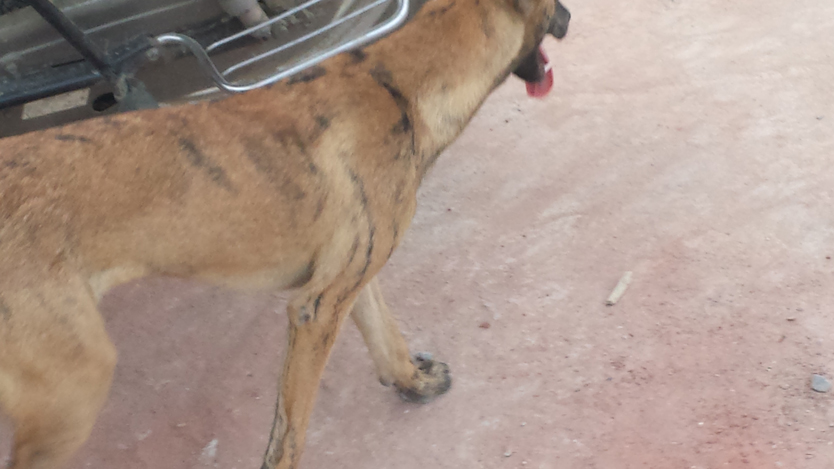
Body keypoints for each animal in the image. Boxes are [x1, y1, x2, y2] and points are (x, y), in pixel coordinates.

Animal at [0, 0, 570, 466]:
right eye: (553, 5)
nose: (568, 16)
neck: (394, 83)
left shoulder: (349, 276)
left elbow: (385, 332)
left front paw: (413, 380)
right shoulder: (314, 311)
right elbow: (289, 435)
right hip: (76, 386)